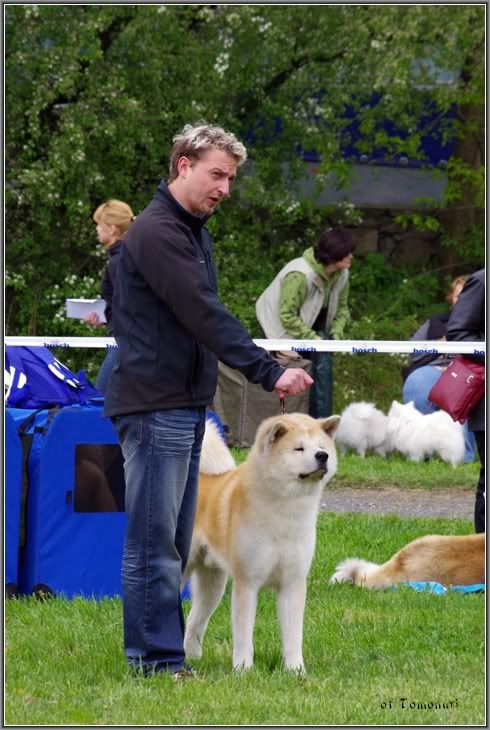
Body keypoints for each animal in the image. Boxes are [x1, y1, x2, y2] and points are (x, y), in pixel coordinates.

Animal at [183, 412, 341, 672]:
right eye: (299, 448)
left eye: (322, 447)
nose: (322, 456)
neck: (285, 511)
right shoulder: (247, 582)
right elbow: (244, 635)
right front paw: (243, 670)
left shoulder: (292, 583)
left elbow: (293, 636)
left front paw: (296, 671)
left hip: (213, 585)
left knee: (194, 620)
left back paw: (192, 657)